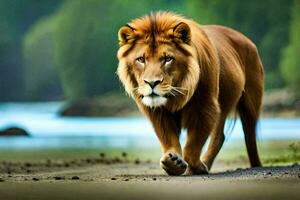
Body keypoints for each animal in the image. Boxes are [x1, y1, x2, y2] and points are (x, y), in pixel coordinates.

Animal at [116, 12, 264, 175]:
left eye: (168, 59)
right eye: (141, 59)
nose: (152, 83)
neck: (177, 95)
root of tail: (248, 40)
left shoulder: (205, 107)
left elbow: (193, 145)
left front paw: (194, 167)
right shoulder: (159, 113)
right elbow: (169, 139)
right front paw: (173, 161)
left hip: (250, 103)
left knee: (249, 135)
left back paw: (255, 165)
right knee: (219, 137)